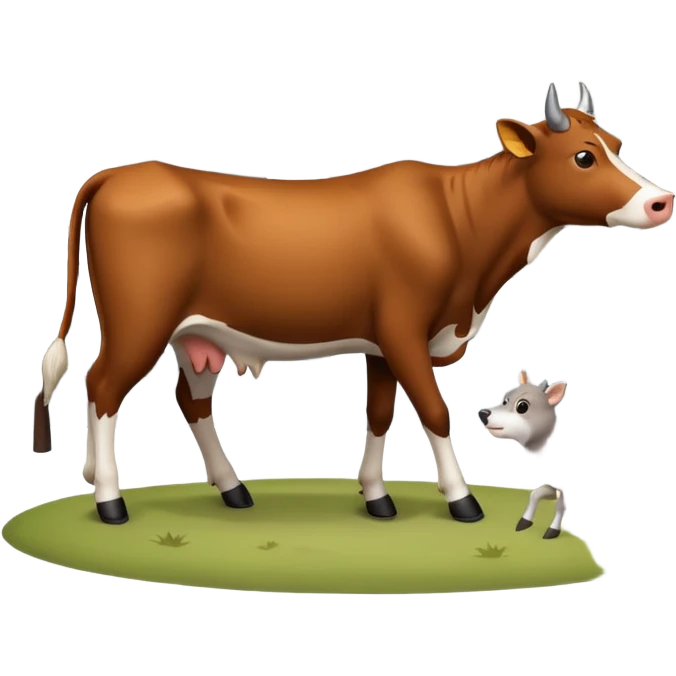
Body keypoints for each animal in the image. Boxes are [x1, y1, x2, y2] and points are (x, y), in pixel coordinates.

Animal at [34, 82, 673, 526]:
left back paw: (230, 489)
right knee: (103, 386)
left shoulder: (383, 344)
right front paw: (462, 500)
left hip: (198, 336)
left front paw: (377, 498)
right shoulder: (404, 330)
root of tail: (119, 175)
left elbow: (380, 414)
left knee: (189, 401)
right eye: (583, 157)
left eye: (616, 144)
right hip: (139, 322)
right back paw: (110, 501)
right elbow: (434, 412)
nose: (661, 202)